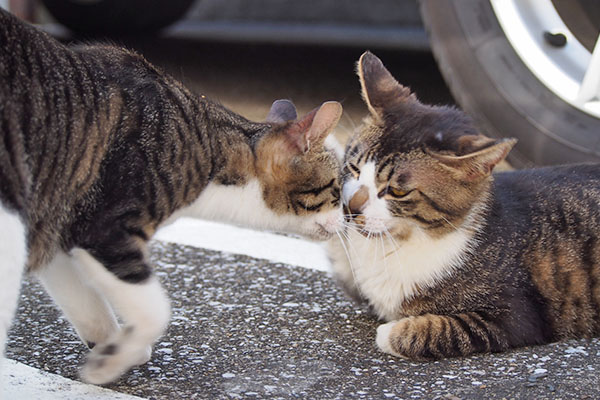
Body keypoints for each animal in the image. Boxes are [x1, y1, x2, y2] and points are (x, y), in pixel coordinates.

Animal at [0, 8, 344, 384]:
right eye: (336, 189)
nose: (349, 217)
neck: (208, 147)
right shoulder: (104, 227)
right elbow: (155, 312)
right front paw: (113, 360)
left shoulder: (54, 229)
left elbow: (87, 305)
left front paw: (111, 349)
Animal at [328, 51, 600, 360]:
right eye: (353, 167)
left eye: (396, 191)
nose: (351, 207)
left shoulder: (515, 315)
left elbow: (443, 329)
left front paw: (391, 332)